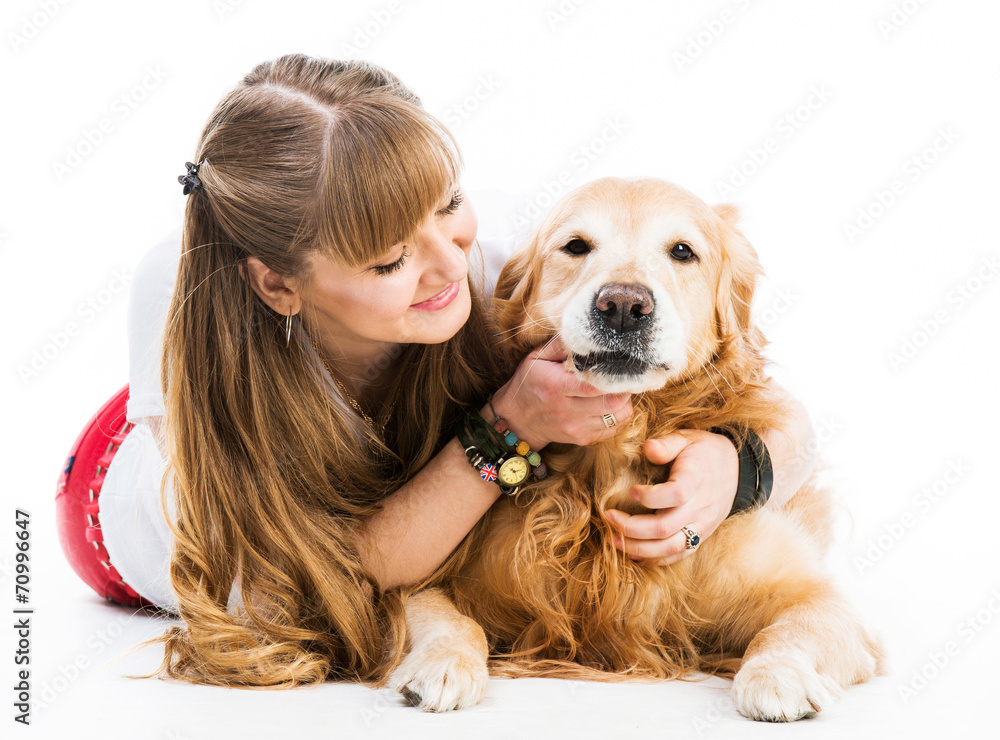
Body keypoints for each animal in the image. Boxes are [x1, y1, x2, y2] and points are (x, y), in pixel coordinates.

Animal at [386, 178, 888, 724]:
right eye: (575, 246)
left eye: (683, 251)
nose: (624, 306)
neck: (612, 462)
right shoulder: (431, 575)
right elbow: (445, 616)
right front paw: (442, 663)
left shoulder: (824, 600)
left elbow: (795, 623)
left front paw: (777, 676)